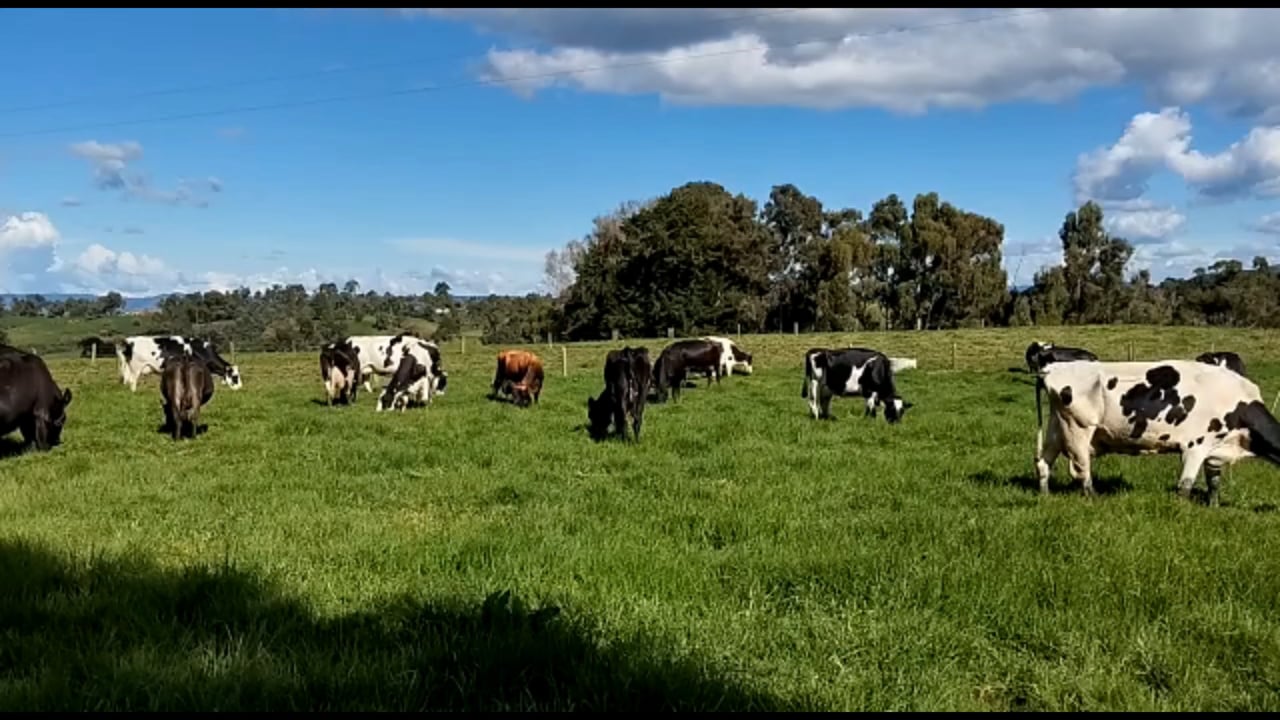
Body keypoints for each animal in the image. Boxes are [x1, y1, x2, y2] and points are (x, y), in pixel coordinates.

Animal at [1034, 359, 1280, 505]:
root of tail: (1054, 367)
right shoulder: (1195, 447)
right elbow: (1185, 485)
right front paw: (1182, 511)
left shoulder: (1215, 451)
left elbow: (1214, 484)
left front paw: (1214, 508)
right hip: (1078, 429)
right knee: (1082, 469)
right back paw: (1094, 497)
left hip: (1057, 428)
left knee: (1043, 463)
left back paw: (1045, 496)